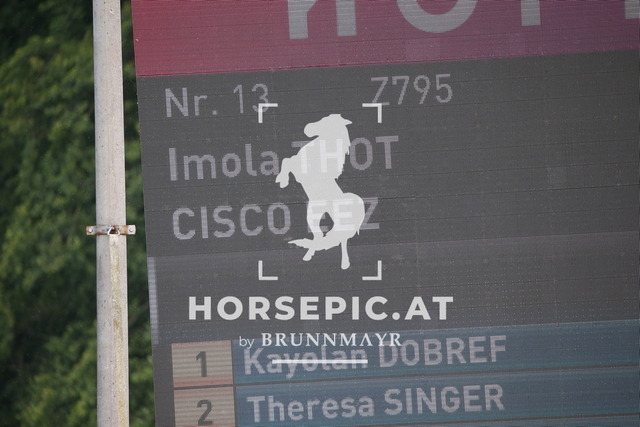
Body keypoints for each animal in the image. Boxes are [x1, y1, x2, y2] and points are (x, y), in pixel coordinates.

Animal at [275, 114, 365, 269]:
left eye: (326, 123)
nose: (307, 128)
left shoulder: (300, 171)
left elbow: (287, 160)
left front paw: (282, 181)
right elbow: (288, 160)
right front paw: (281, 180)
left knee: (339, 239)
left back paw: (343, 263)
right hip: (314, 215)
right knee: (323, 236)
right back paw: (309, 256)